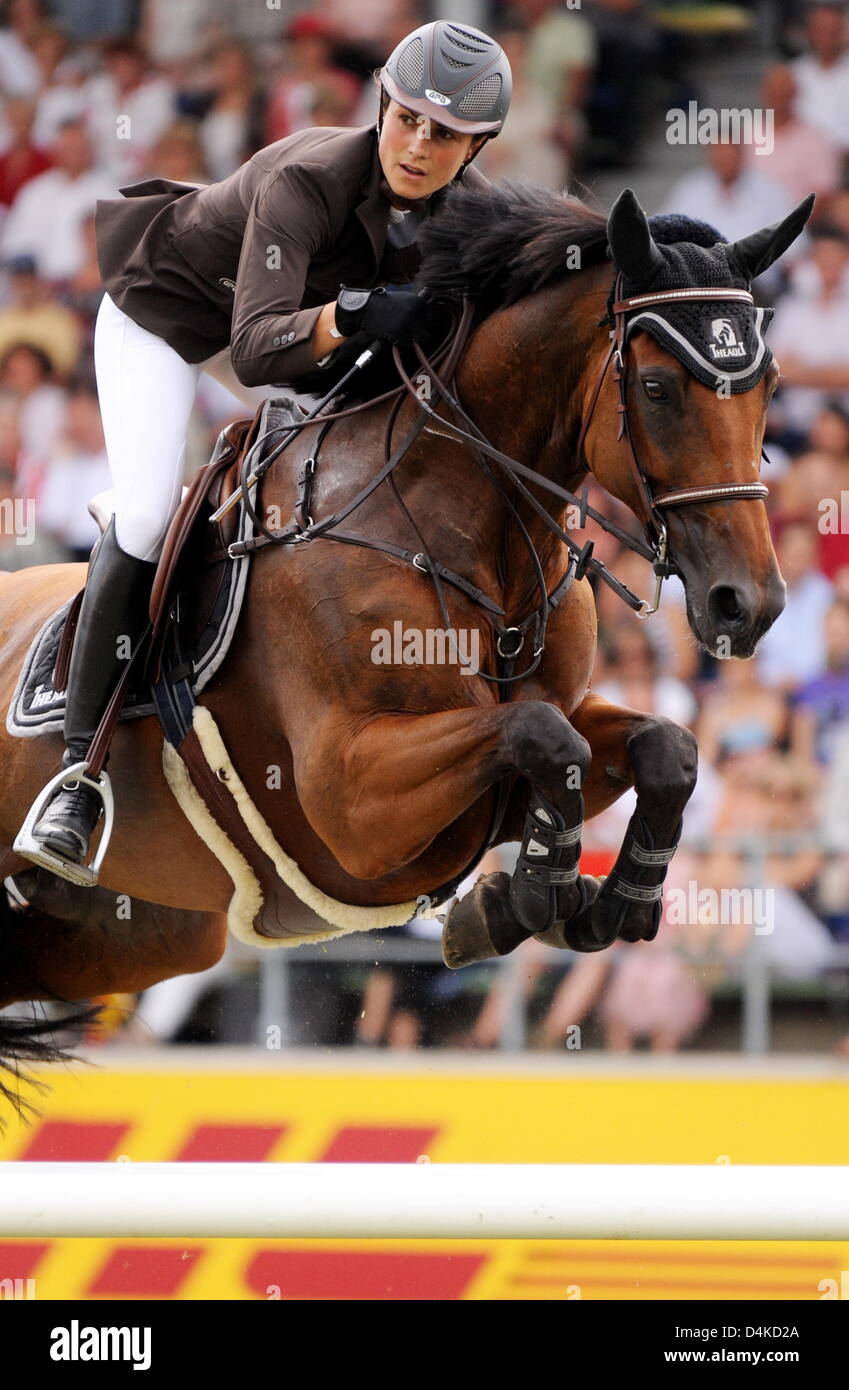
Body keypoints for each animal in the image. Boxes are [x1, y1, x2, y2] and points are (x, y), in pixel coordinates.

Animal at [0, 183, 810, 1116]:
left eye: (770, 388)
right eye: (655, 386)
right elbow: (541, 737)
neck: (478, 537)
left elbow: (660, 747)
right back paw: (68, 814)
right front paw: (528, 893)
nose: (747, 606)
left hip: (122, 933)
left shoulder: (552, 729)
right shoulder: (349, 802)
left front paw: (600, 901)